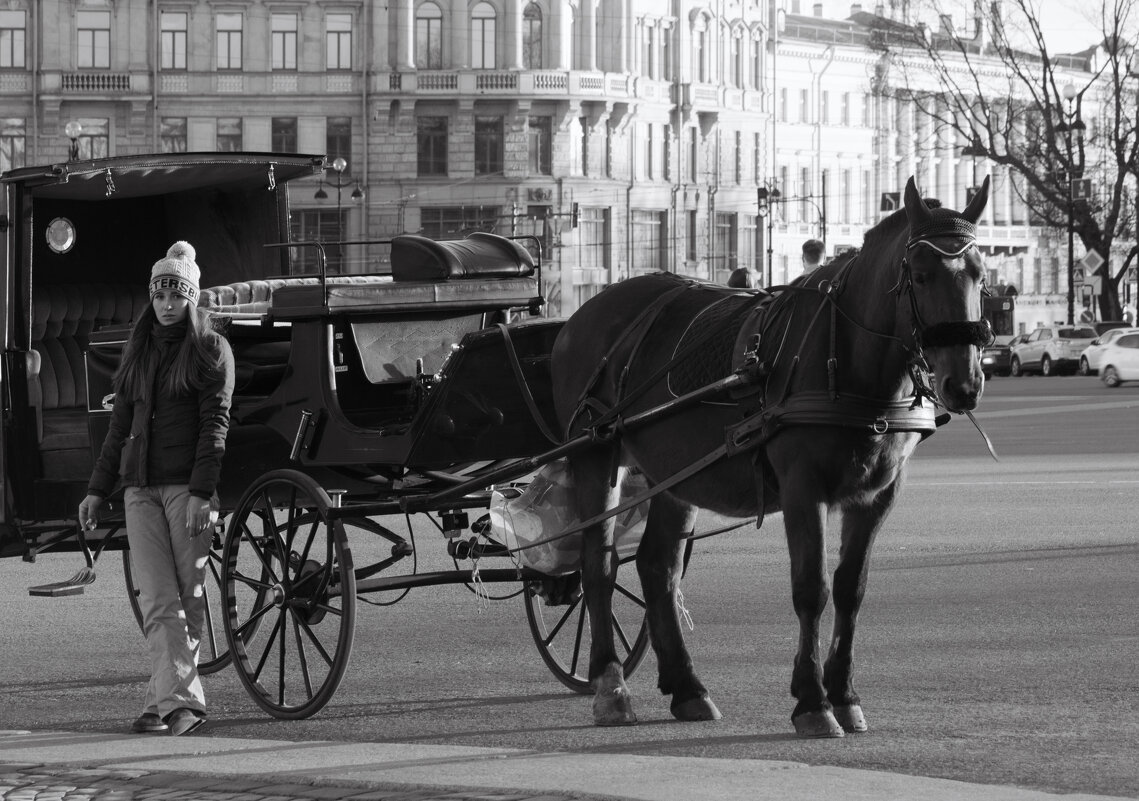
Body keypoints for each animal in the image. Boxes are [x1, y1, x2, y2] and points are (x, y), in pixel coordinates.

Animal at [548, 175, 988, 738]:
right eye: (922, 273)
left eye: (979, 275)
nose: (964, 384)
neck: (845, 359)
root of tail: (587, 310)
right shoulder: (804, 489)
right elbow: (811, 589)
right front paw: (813, 701)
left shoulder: (877, 497)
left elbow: (851, 589)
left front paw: (844, 694)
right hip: (597, 458)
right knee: (597, 566)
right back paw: (610, 685)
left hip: (675, 473)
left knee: (656, 567)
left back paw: (688, 688)